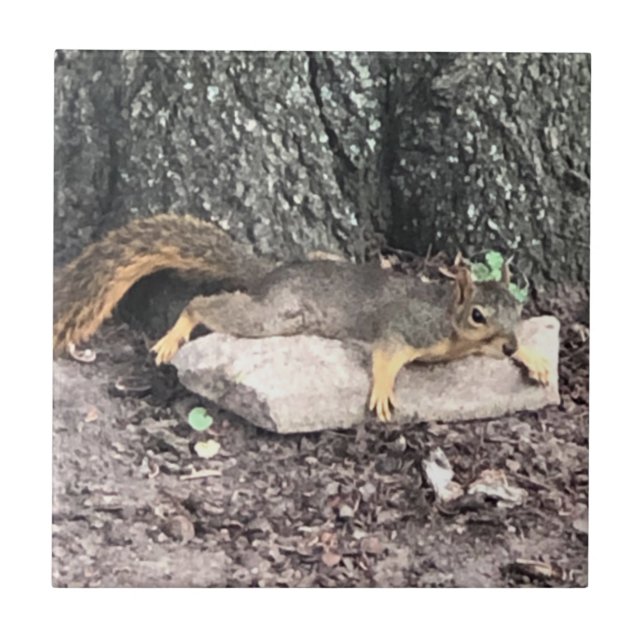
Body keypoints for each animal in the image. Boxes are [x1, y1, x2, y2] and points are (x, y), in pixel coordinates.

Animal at [53, 214, 551, 421]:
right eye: (478, 314)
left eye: (517, 309)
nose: (509, 341)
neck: (449, 319)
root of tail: (272, 273)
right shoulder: (408, 325)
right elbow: (386, 352)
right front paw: (383, 390)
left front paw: (533, 358)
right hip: (274, 316)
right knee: (203, 304)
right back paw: (174, 335)